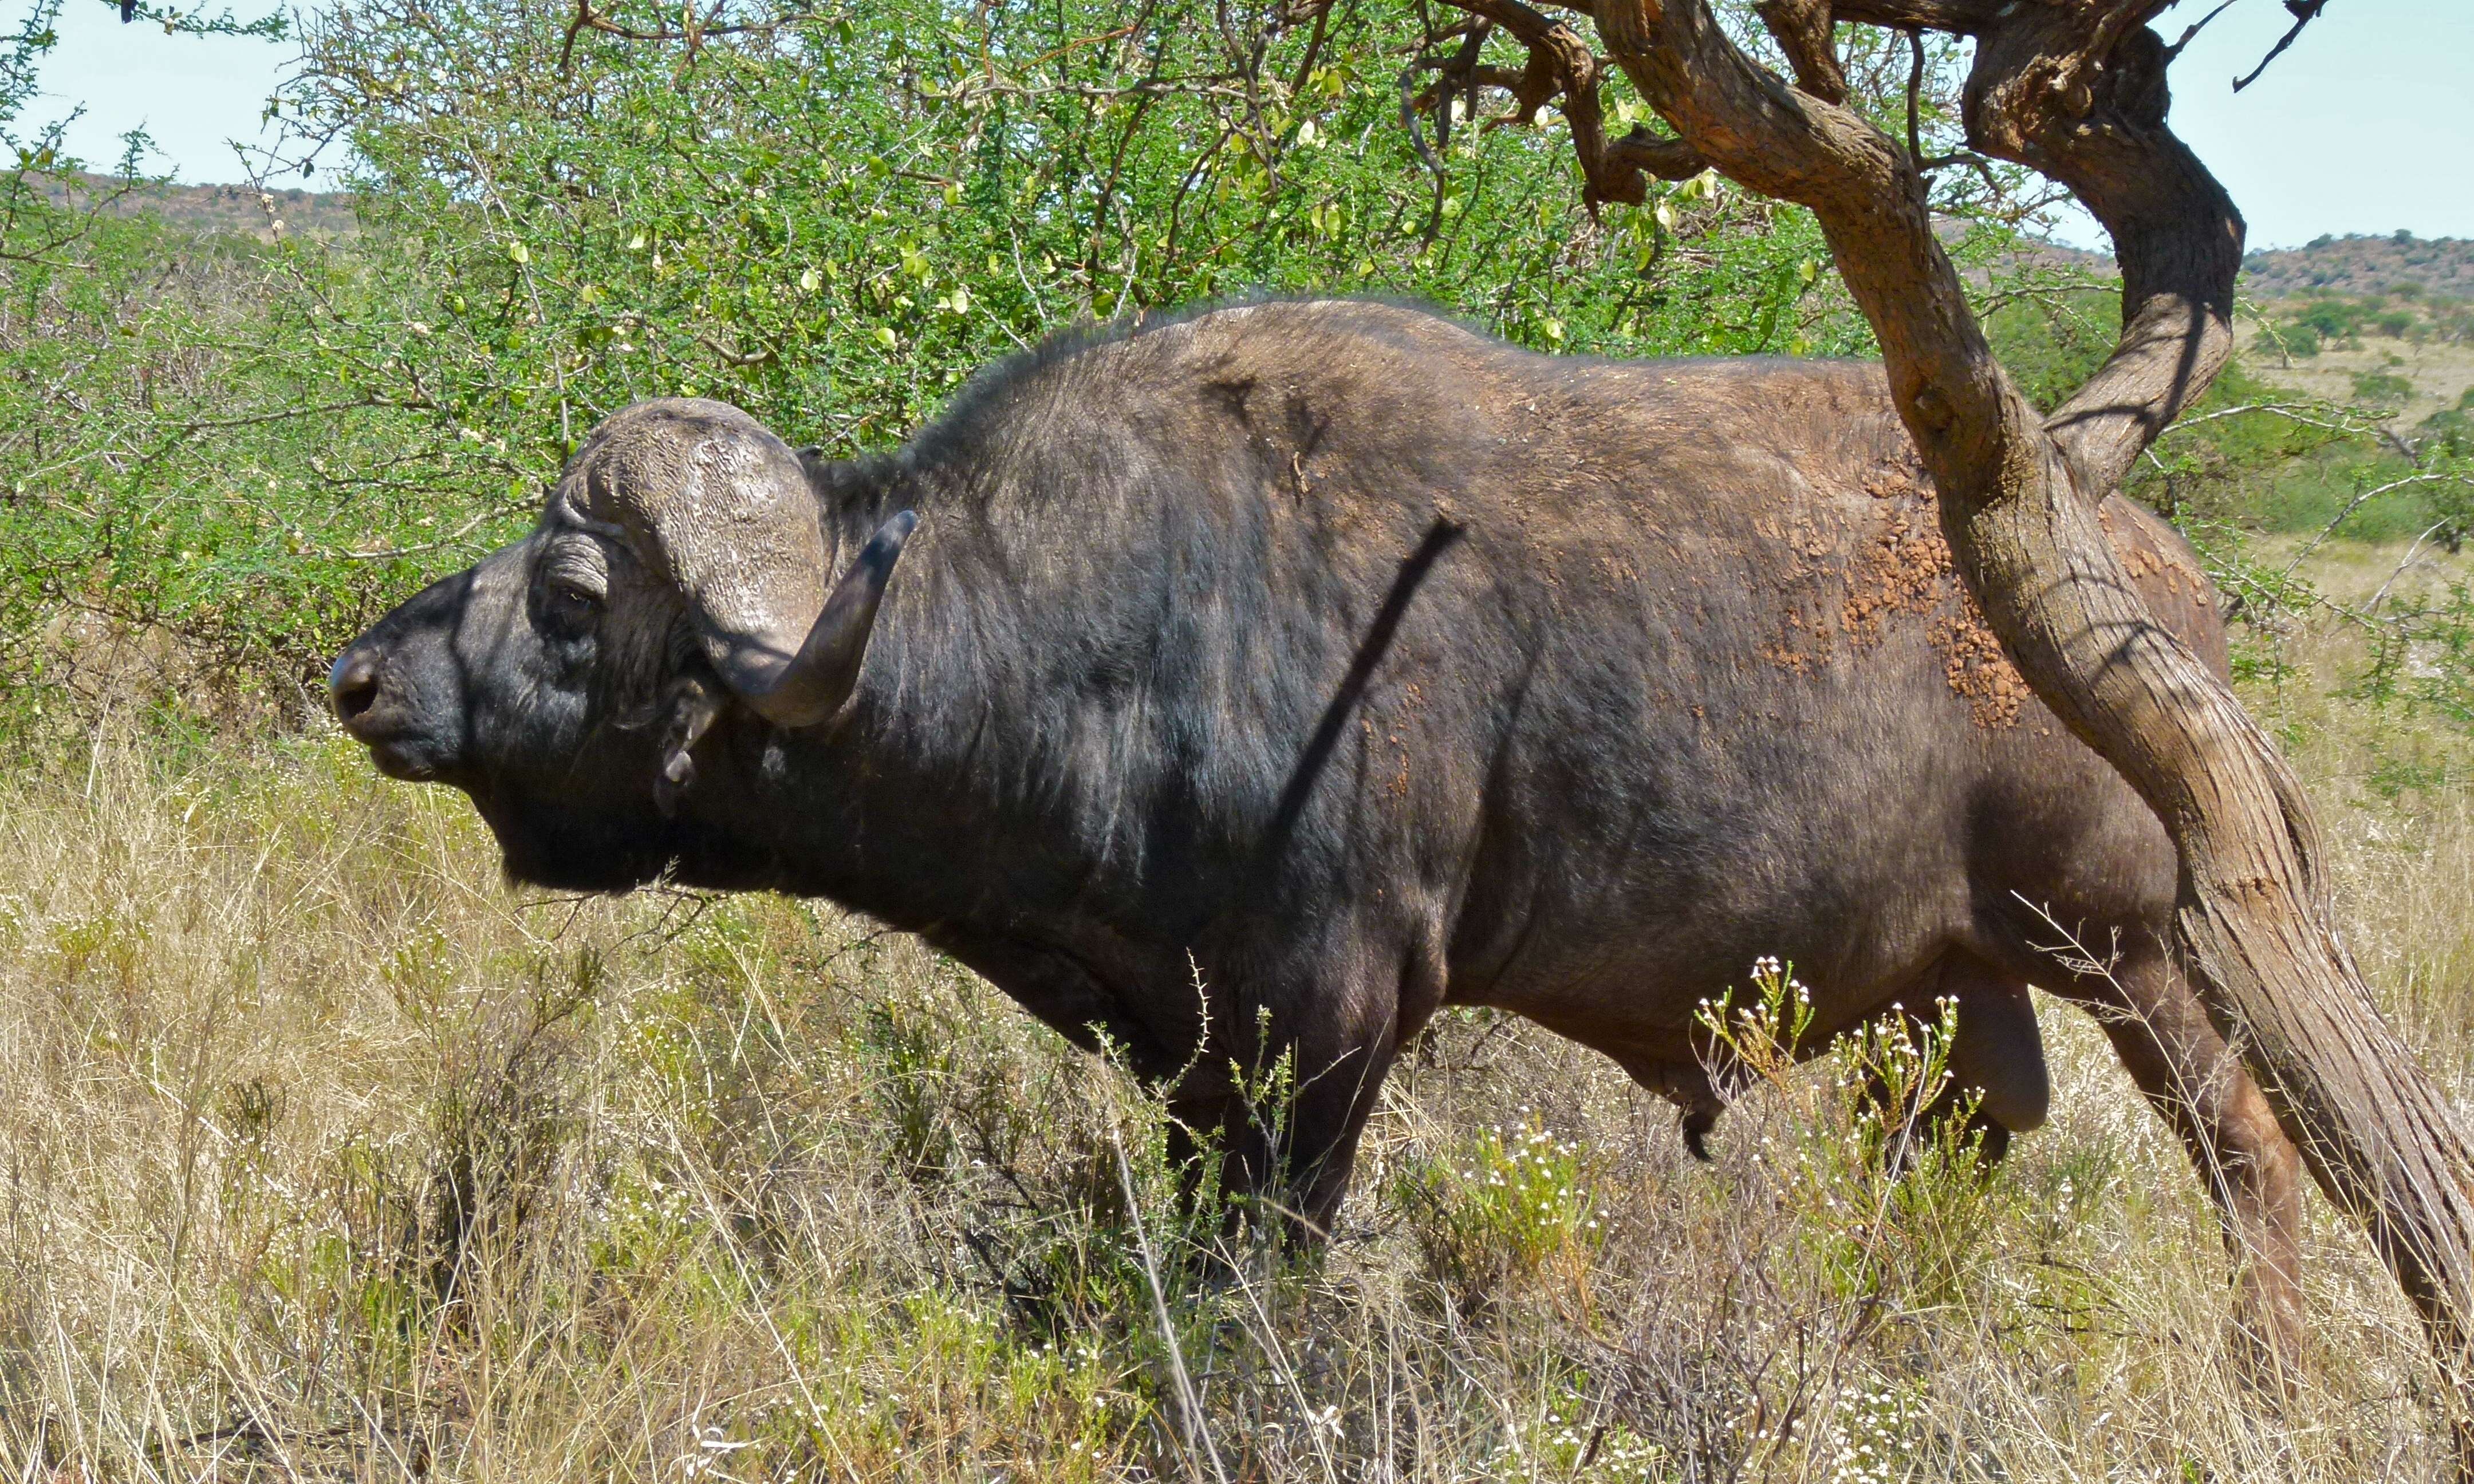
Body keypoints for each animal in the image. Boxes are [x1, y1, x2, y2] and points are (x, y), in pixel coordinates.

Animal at [329, 298, 2295, 1355]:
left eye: (571, 598)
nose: (359, 677)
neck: (1121, 626)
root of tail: (2162, 587)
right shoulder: (1197, 1060)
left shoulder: (1327, 1038)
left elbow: (1261, 1277)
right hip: (1952, 1000)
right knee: (1958, 1152)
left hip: (2136, 959)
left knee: (2253, 1164)